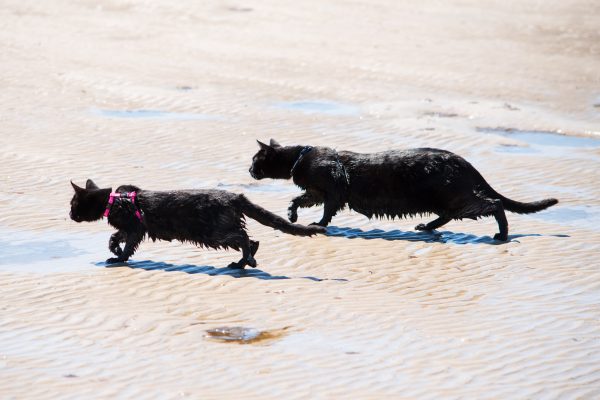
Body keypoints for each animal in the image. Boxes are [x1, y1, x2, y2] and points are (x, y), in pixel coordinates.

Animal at [69, 179, 324, 268]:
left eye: (73, 204)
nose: (69, 215)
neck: (116, 201)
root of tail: (235, 197)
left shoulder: (134, 228)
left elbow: (126, 245)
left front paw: (118, 258)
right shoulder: (130, 228)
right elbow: (113, 238)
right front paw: (114, 250)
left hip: (213, 232)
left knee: (243, 237)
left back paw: (246, 262)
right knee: (253, 241)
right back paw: (241, 263)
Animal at [248, 140, 556, 241]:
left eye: (254, 160)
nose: (249, 170)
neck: (300, 158)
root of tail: (464, 162)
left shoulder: (331, 191)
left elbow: (327, 211)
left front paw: (318, 224)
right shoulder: (316, 191)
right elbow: (299, 198)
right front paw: (292, 214)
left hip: (457, 196)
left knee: (494, 204)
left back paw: (502, 235)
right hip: (446, 200)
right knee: (449, 215)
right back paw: (425, 227)